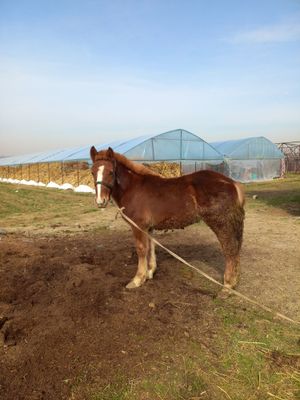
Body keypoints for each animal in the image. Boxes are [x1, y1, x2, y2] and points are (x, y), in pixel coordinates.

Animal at [90, 145, 245, 290]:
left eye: (111, 172)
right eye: (92, 172)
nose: (100, 201)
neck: (133, 188)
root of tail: (232, 182)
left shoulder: (138, 226)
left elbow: (141, 249)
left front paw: (138, 279)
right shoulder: (148, 227)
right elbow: (151, 247)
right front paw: (150, 272)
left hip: (221, 223)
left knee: (230, 249)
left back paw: (227, 285)